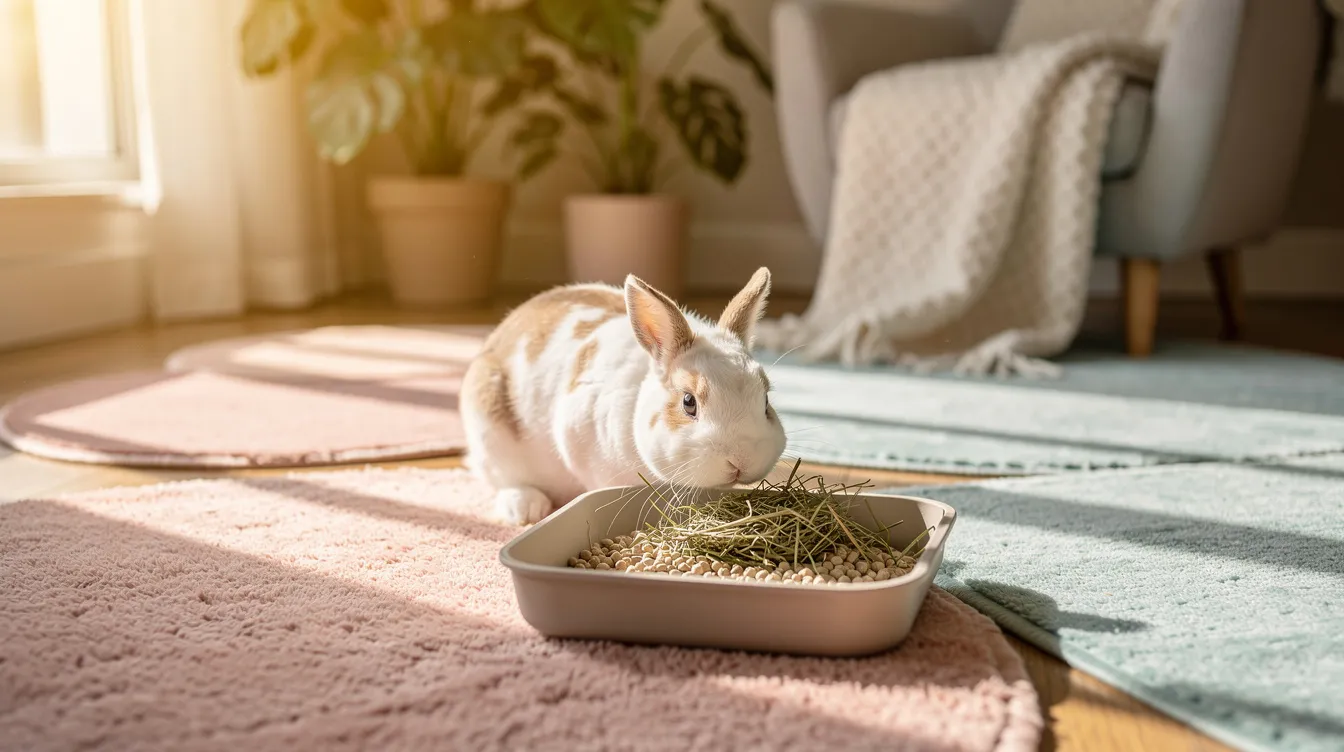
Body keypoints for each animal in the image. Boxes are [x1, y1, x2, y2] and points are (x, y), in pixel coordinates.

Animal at [460, 267, 788, 525]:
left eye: (766, 400)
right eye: (688, 402)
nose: (741, 460)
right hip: (489, 428)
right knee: (502, 477)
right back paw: (526, 508)